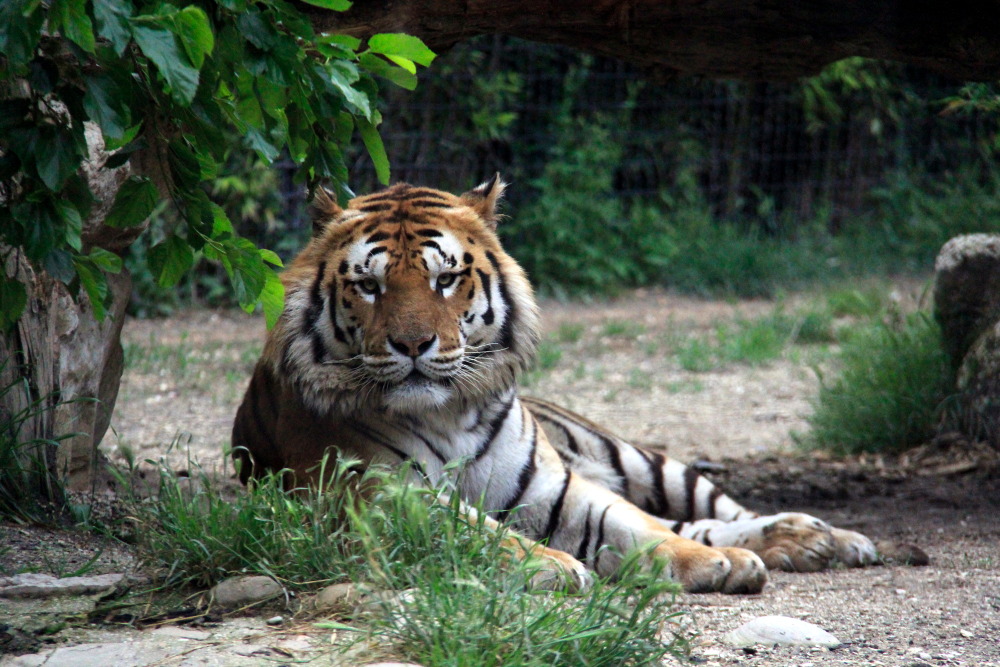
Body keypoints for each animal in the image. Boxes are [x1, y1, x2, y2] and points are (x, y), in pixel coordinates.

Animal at [231, 177, 879, 594]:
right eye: (369, 286)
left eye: (446, 279)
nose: (413, 346)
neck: (447, 413)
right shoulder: (372, 494)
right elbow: (475, 529)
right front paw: (552, 565)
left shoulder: (556, 488)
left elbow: (634, 526)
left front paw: (710, 562)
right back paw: (802, 542)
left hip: (641, 461)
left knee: (708, 512)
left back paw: (820, 537)